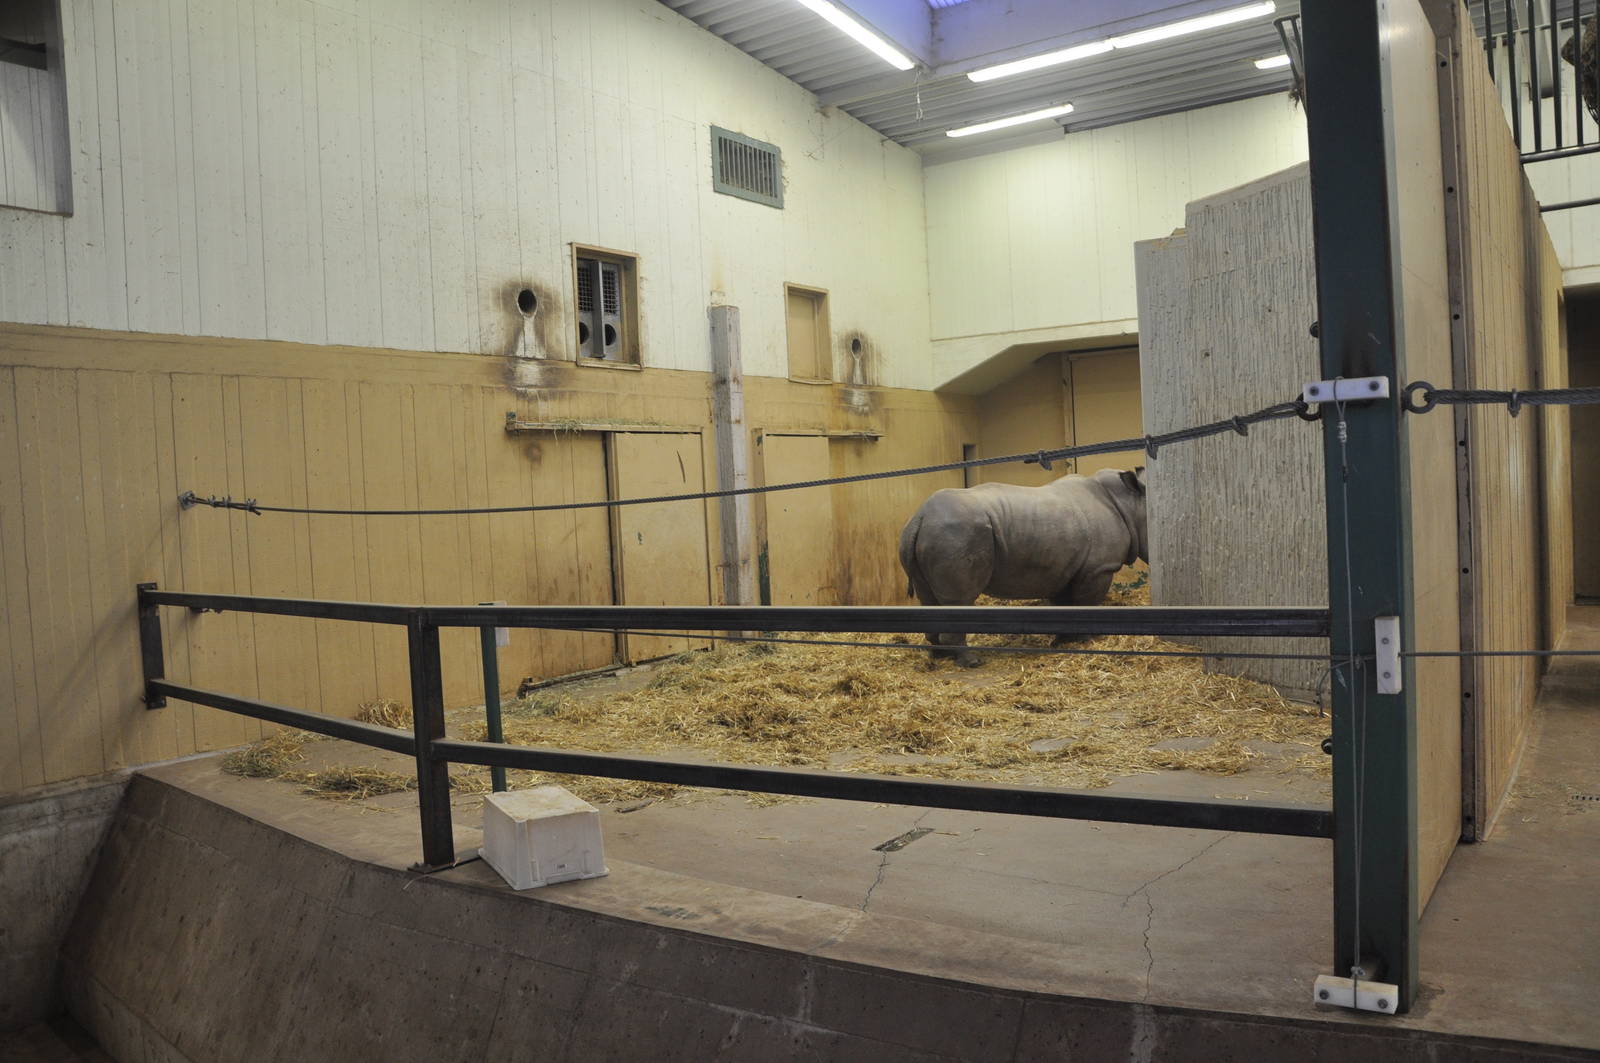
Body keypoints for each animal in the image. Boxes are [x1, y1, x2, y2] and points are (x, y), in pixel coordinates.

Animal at [898, 467, 1148, 667]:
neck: (1128, 503)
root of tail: (920, 517)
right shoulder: (1098, 569)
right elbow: (1088, 603)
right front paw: (1088, 641)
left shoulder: (1064, 568)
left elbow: (1064, 606)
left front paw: (1061, 641)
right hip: (954, 533)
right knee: (959, 600)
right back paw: (972, 662)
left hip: (930, 534)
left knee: (927, 597)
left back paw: (939, 655)